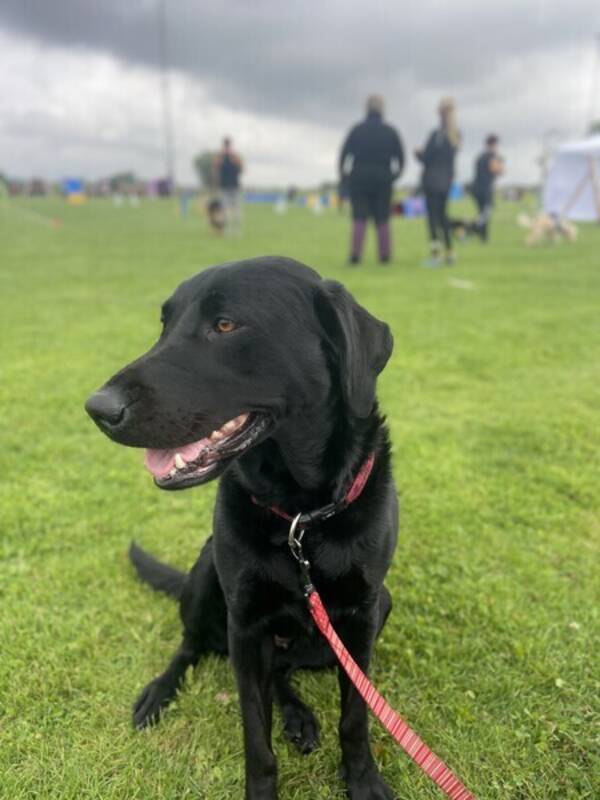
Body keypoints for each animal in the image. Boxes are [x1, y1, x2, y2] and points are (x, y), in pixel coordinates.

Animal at [85, 258, 398, 800]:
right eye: (164, 324)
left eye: (226, 325)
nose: (98, 408)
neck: (298, 518)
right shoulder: (246, 625)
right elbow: (257, 737)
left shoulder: (361, 618)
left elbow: (355, 717)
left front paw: (362, 780)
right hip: (206, 573)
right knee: (192, 647)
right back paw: (159, 693)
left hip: (382, 606)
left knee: (286, 673)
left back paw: (299, 716)